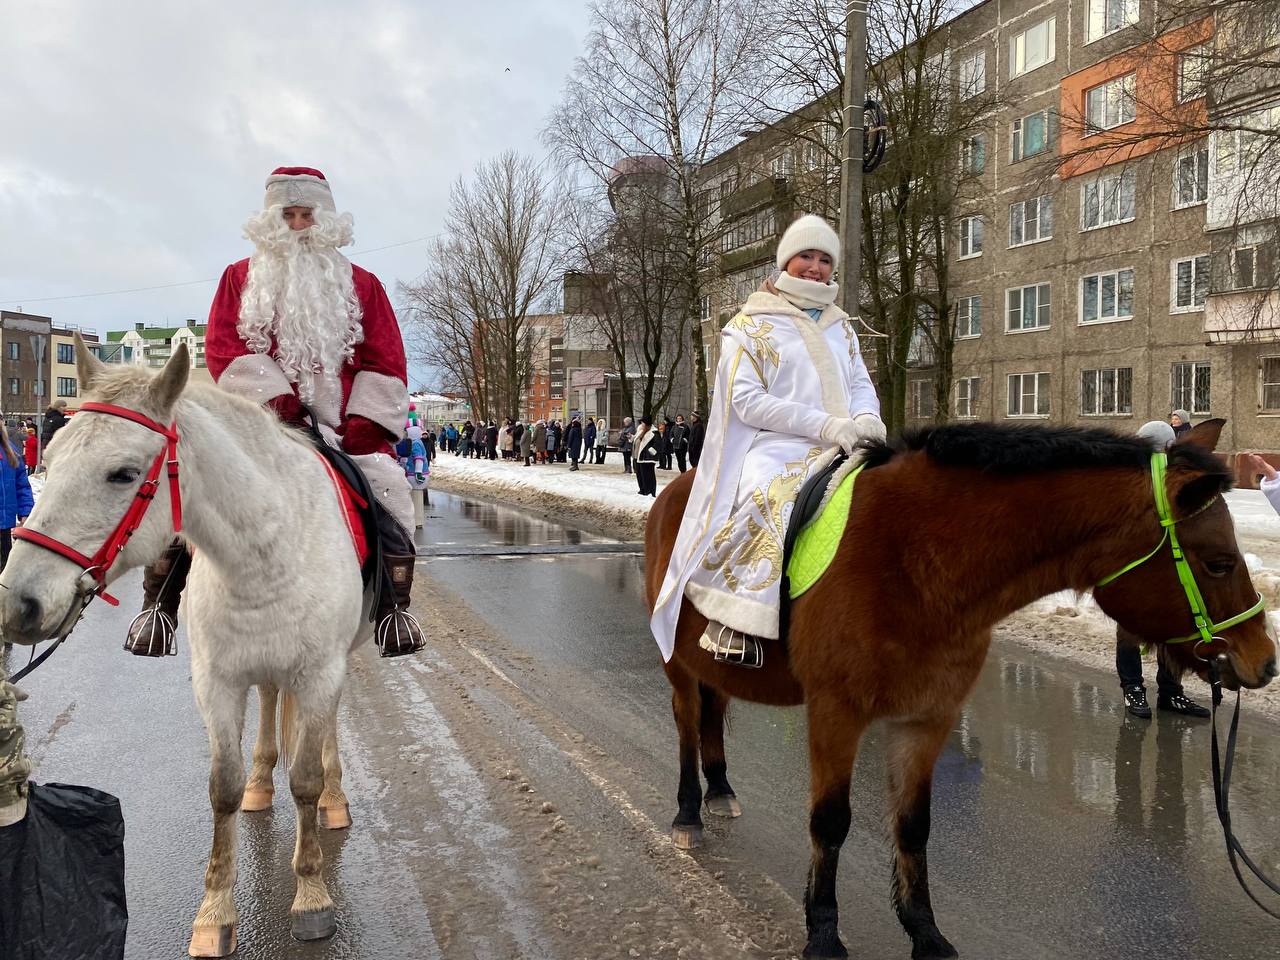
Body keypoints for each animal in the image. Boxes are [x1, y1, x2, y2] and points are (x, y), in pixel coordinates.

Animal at [1, 343, 371, 957]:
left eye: (123, 473)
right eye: (47, 457)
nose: (17, 602)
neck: (267, 553)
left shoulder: (321, 673)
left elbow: (305, 781)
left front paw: (312, 895)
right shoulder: (216, 681)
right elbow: (222, 787)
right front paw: (215, 913)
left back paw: (334, 799)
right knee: (268, 703)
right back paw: (260, 783)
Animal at [645, 422, 1274, 960]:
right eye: (1219, 563)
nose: (1263, 661)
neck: (915, 560)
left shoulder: (928, 717)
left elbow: (913, 826)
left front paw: (924, 932)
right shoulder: (835, 713)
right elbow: (830, 821)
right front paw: (823, 934)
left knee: (712, 715)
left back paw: (720, 789)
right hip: (678, 666)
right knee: (686, 724)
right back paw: (688, 813)